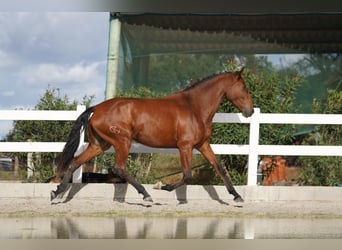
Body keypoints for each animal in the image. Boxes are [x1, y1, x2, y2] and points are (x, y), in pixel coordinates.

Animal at [50, 68, 254, 203]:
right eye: (244, 88)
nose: (250, 111)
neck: (194, 107)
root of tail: (97, 108)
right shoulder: (185, 146)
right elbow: (187, 174)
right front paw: (162, 186)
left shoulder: (202, 144)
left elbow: (219, 167)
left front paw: (237, 196)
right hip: (122, 141)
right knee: (119, 168)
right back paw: (146, 195)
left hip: (99, 145)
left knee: (76, 161)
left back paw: (57, 192)